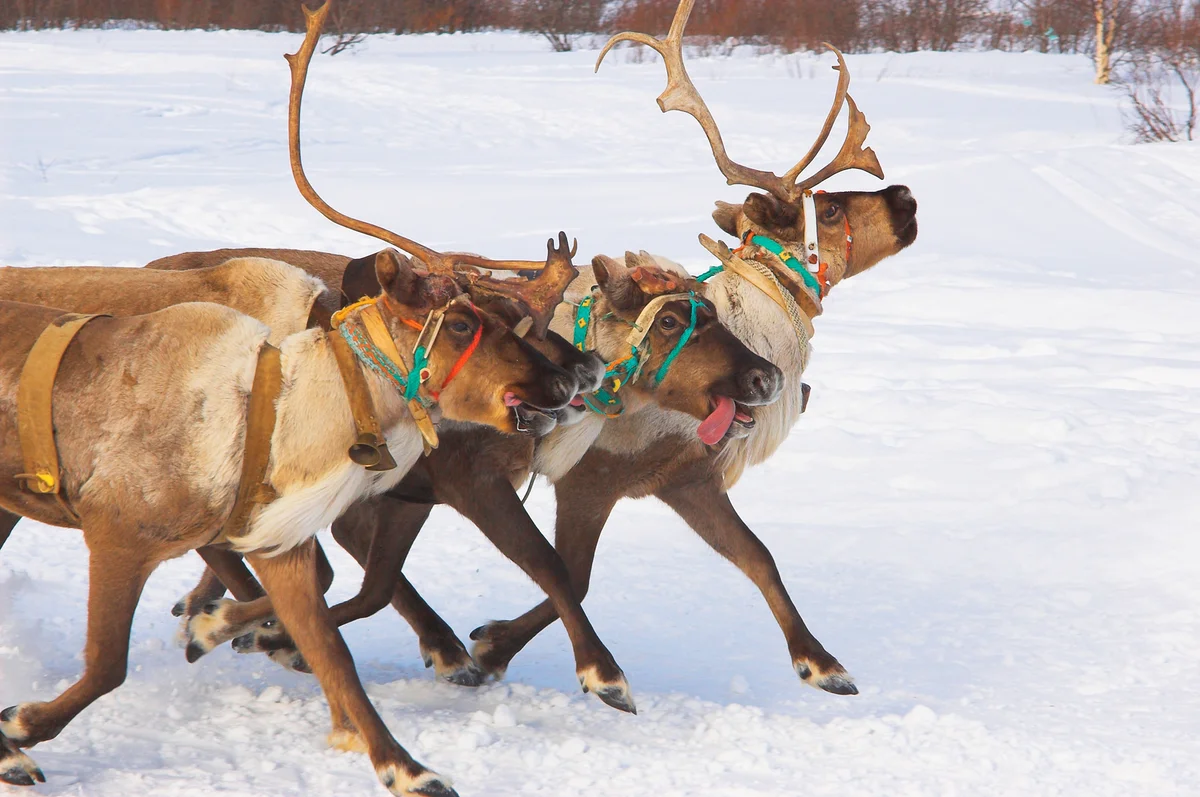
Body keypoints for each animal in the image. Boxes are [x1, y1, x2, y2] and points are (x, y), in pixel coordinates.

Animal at [211, 0, 920, 699]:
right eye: (829, 210)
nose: (907, 198)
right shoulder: (577, 481)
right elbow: (570, 574)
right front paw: (507, 648)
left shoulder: (684, 479)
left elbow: (758, 557)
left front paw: (821, 662)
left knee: (349, 552)